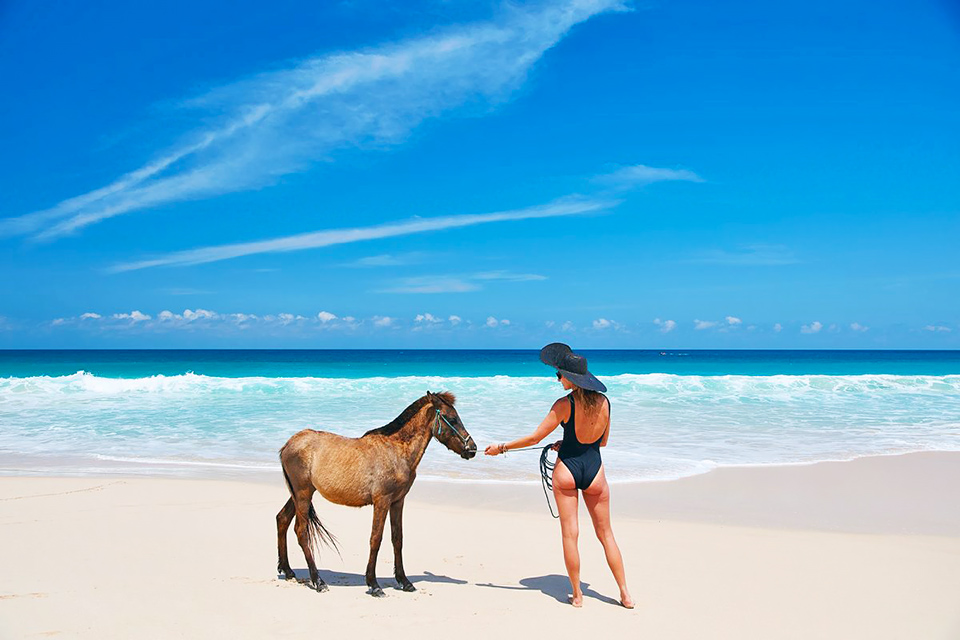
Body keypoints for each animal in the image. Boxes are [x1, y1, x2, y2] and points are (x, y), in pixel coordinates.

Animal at [276, 390, 476, 597]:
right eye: (452, 419)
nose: (472, 449)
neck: (396, 451)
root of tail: (288, 444)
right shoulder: (382, 501)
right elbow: (376, 539)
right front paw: (373, 584)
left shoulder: (398, 501)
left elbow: (397, 539)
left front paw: (404, 581)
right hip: (303, 494)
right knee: (301, 531)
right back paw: (318, 581)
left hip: (299, 494)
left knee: (282, 519)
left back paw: (288, 570)